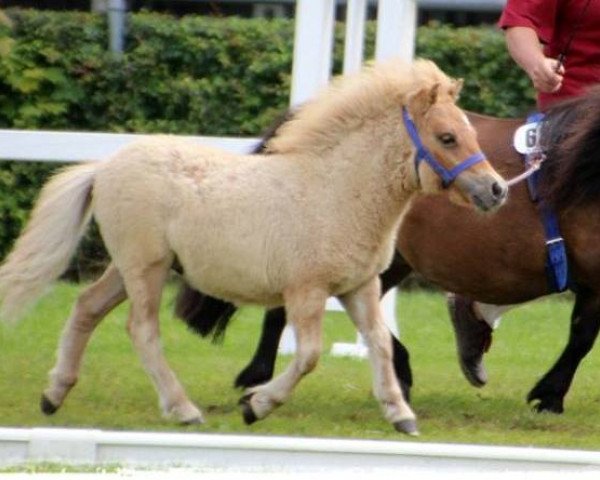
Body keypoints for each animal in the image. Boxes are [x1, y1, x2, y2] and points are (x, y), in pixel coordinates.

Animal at [0, 58, 506, 434]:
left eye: (470, 132)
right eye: (447, 137)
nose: (496, 190)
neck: (337, 190)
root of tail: (103, 167)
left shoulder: (359, 286)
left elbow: (379, 343)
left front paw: (401, 415)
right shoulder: (306, 292)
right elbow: (308, 355)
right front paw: (255, 405)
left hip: (130, 268)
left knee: (86, 306)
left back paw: (53, 395)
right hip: (146, 267)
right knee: (141, 330)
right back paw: (183, 410)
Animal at [177, 84, 600, 414]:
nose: (495, 191)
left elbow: (582, 333)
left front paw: (549, 394)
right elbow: (583, 335)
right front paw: (549, 395)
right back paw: (260, 376)